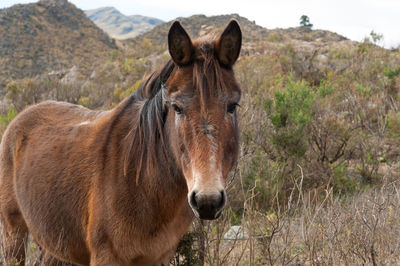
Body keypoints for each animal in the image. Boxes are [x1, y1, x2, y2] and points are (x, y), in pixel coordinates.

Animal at [0, 19, 241, 264]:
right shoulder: (106, 256)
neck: (142, 181)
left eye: (232, 106)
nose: (207, 200)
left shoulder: (161, 256)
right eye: (177, 107)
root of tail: (20, 117)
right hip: (13, 233)